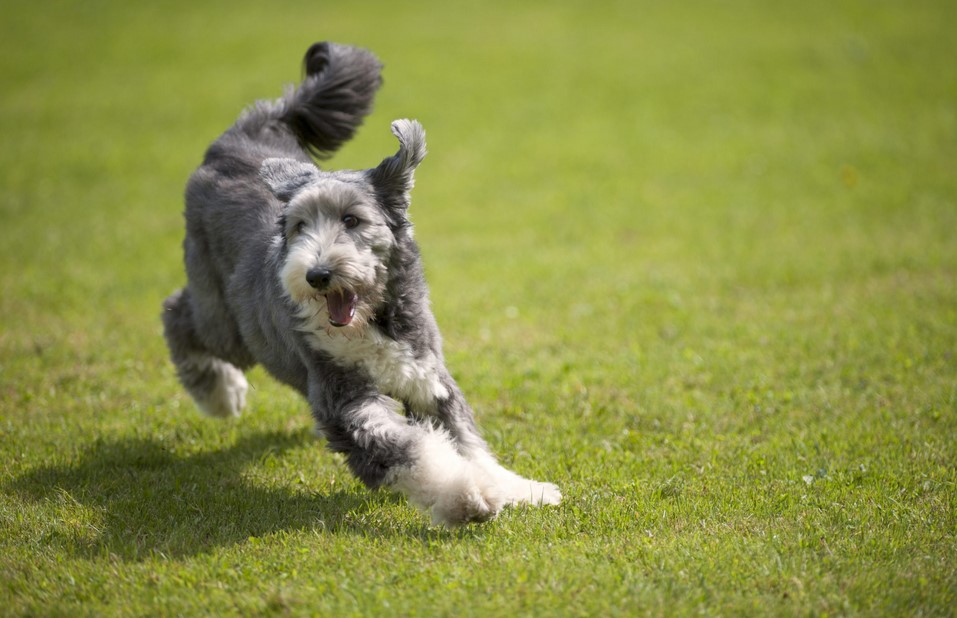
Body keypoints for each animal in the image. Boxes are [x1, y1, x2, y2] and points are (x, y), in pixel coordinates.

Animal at [160, 41, 556, 524]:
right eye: (299, 226)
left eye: (352, 220)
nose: (317, 275)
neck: (370, 322)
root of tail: (243, 133)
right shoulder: (346, 401)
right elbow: (411, 451)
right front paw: (469, 495)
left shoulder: (427, 378)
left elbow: (467, 442)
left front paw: (523, 489)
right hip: (229, 322)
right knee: (177, 312)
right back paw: (221, 393)